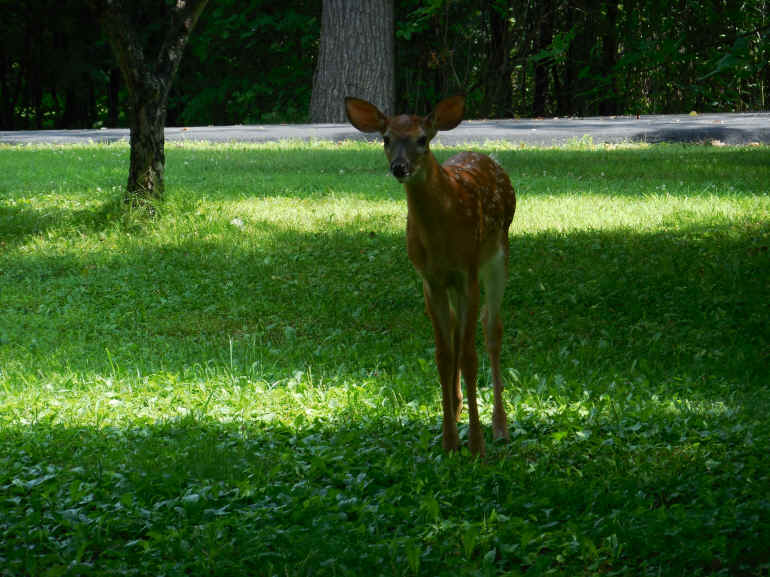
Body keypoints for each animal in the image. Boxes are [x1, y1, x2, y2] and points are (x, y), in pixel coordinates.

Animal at [345, 95, 516, 456]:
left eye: (422, 139)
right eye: (386, 139)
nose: (399, 167)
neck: (441, 235)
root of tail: (487, 157)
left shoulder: (467, 272)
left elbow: (468, 356)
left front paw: (476, 444)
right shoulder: (429, 279)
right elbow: (443, 353)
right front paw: (449, 439)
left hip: (498, 256)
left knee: (491, 329)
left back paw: (500, 426)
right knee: (456, 331)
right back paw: (458, 405)